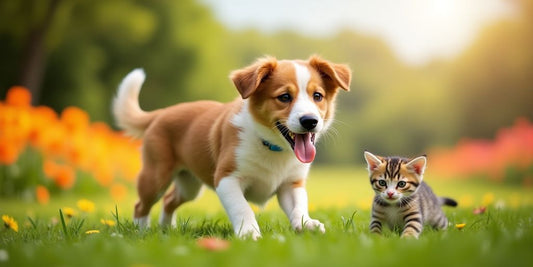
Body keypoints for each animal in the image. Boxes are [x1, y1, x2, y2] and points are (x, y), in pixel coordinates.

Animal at [113, 55, 350, 240]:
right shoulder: (227, 178)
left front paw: (306, 224)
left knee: (169, 200)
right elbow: (242, 208)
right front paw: (249, 233)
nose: (310, 121)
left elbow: (299, 206)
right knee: (141, 205)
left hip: (189, 185)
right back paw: (142, 232)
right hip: (156, 176)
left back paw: (167, 230)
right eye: (284, 97)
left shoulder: (291, 183)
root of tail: (161, 113)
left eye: (317, 96)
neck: (272, 147)